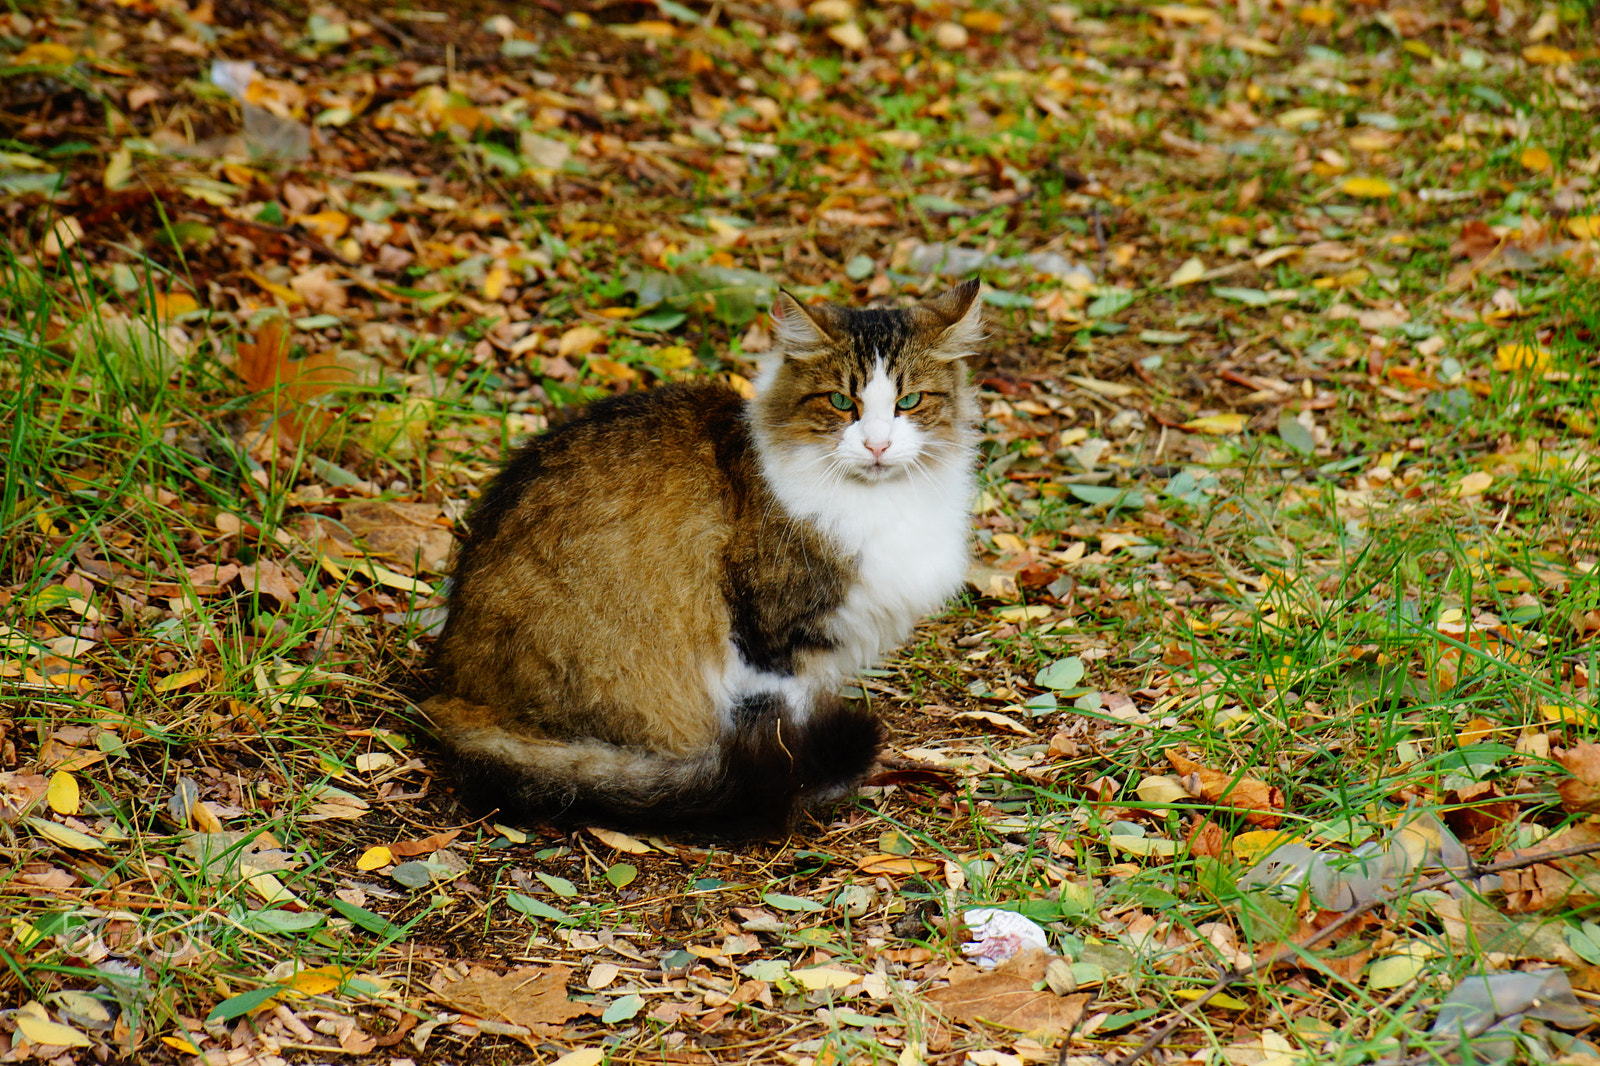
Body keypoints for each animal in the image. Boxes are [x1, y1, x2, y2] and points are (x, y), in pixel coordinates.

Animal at [419, 278, 979, 832]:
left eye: (909, 401)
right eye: (842, 401)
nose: (877, 446)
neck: (880, 502)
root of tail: (454, 697)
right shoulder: (767, 635)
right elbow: (785, 715)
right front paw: (803, 772)